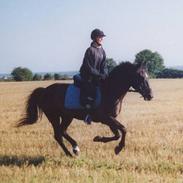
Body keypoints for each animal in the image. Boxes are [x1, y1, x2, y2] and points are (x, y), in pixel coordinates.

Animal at [16, 62, 153, 157]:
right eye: (140, 77)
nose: (150, 95)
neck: (110, 90)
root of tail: (45, 90)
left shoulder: (110, 118)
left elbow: (117, 134)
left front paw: (99, 139)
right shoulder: (104, 118)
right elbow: (123, 129)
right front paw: (118, 148)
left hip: (67, 116)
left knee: (62, 132)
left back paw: (74, 149)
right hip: (53, 116)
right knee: (58, 135)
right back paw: (71, 152)